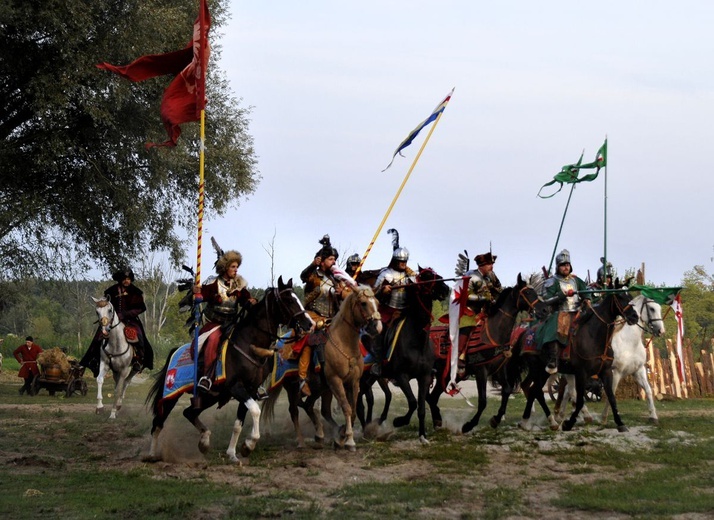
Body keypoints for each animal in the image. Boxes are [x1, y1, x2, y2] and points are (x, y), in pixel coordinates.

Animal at [144, 276, 312, 464]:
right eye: (289, 300)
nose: (309, 324)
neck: (249, 343)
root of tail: (175, 351)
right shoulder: (236, 387)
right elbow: (255, 411)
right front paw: (249, 444)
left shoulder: (250, 390)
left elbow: (239, 422)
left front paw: (235, 452)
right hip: (171, 395)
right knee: (158, 422)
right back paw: (151, 454)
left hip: (208, 397)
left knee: (189, 413)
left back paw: (204, 441)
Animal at [426, 272, 548, 434]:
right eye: (527, 292)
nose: (544, 310)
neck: (493, 333)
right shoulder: (481, 371)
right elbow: (483, 401)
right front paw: (468, 425)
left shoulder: (499, 370)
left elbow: (507, 390)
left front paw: (496, 419)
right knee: (429, 397)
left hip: (444, 376)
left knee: (432, 398)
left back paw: (438, 421)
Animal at [552, 294, 664, 424]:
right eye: (652, 308)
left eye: (659, 308)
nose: (661, 331)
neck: (629, 342)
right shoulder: (615, 372)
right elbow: (611, 393)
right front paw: (604, 418)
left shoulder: (638, 370)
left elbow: (648, 390)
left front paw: (653, 417)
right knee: (570, 391)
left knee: (568, 391)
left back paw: (562, 416)